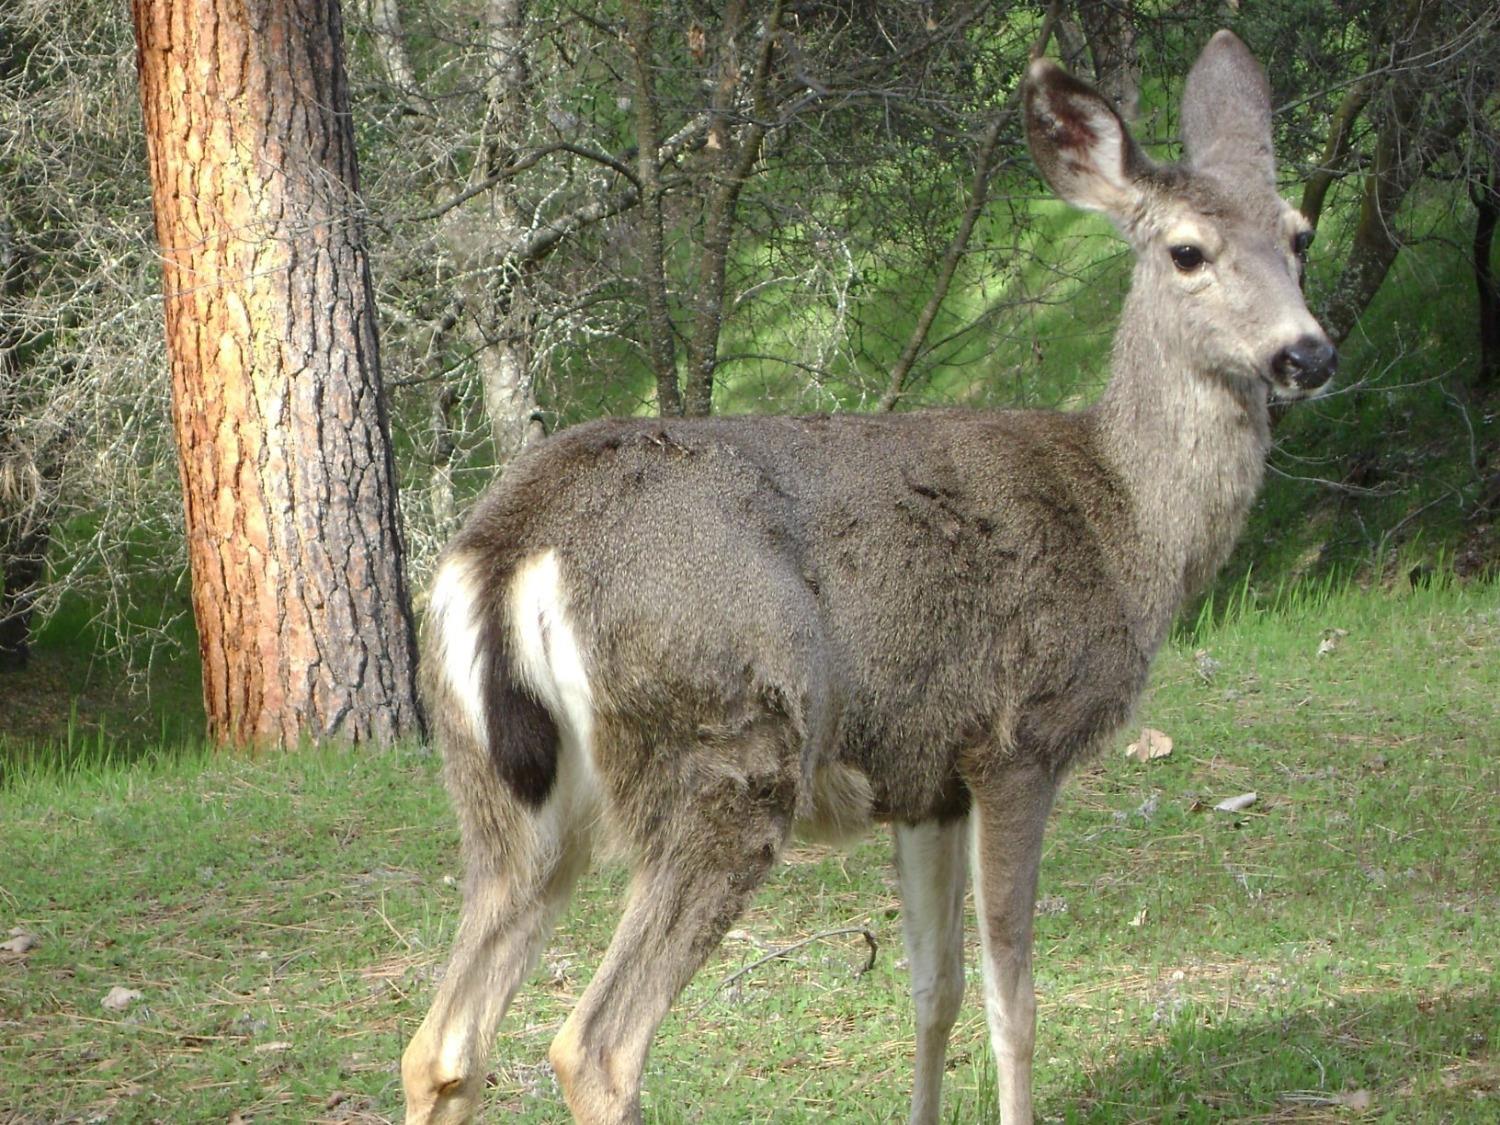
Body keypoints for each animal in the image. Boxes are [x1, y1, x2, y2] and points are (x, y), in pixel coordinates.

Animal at [402, 33, 1338, 1125]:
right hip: (726, 749)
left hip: (507, 800)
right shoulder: (1017, 738)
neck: (1125, 521)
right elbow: (1013, 998)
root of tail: (510, 547)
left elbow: (933, 988)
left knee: (443, 1041)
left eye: (1300, 232)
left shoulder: (927, 773)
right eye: (1188, 251)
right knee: (594, 1044)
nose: (1307, 352)